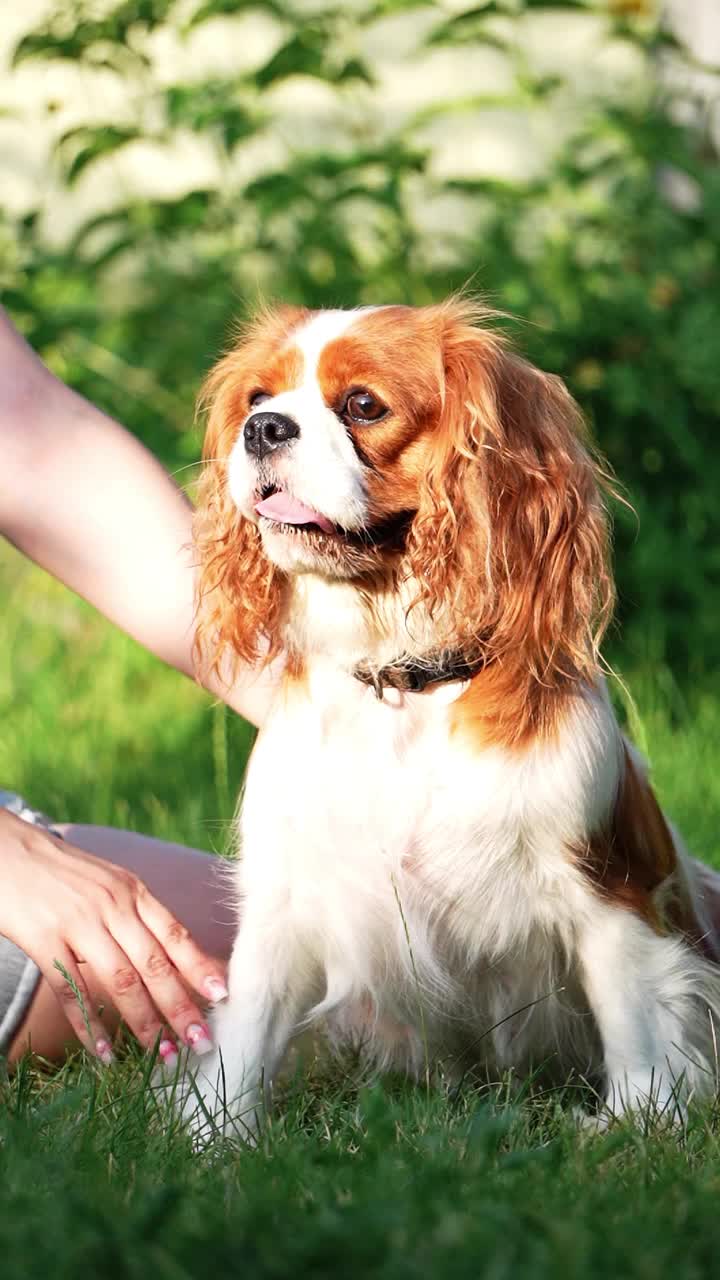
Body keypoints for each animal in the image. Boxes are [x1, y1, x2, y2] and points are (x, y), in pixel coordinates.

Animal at [180, 296, 717, 1131]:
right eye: (256, 399)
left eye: (363, 406)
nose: (264, 429)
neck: (403, 681)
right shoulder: (286, 896)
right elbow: (248, 1031)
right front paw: (218, 1139)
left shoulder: (610, 892)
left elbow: (633, 1018)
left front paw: (633, 1128)